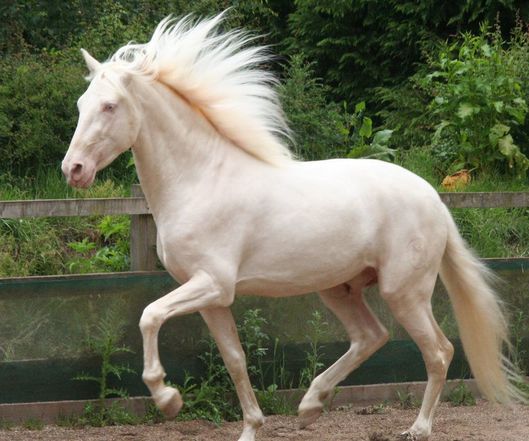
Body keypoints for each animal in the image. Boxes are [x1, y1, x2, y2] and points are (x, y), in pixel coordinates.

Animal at [63, 12, 524, 440]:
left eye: (110, 106)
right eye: (81, 104)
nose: (73, 170)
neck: (202, 179)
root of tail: (433, 199)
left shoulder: (212, 283)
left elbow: (149, 316)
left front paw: (167, 398)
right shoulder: (211, 297)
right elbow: (235, 359)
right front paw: (250, 428)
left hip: (403, 291)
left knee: (438, 351)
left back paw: (418, 427)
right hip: (339, 288)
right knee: (370, 336)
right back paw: (310, 405)